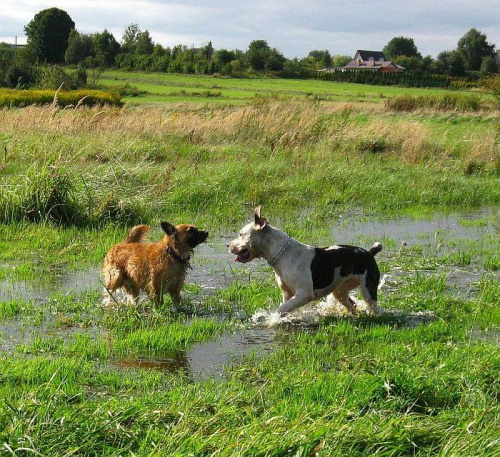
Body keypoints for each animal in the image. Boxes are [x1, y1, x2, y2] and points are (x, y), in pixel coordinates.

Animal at [229, 206, 380, 316]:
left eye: (241, 234)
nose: (227, 245)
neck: (283, 255)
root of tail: (369, 253)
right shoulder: (287, 294)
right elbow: (285, 307)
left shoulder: (303, 294)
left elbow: (281, 309)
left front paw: (272, 320)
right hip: (340, 291)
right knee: (352, 304)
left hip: (368, 288)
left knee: (372, 305)